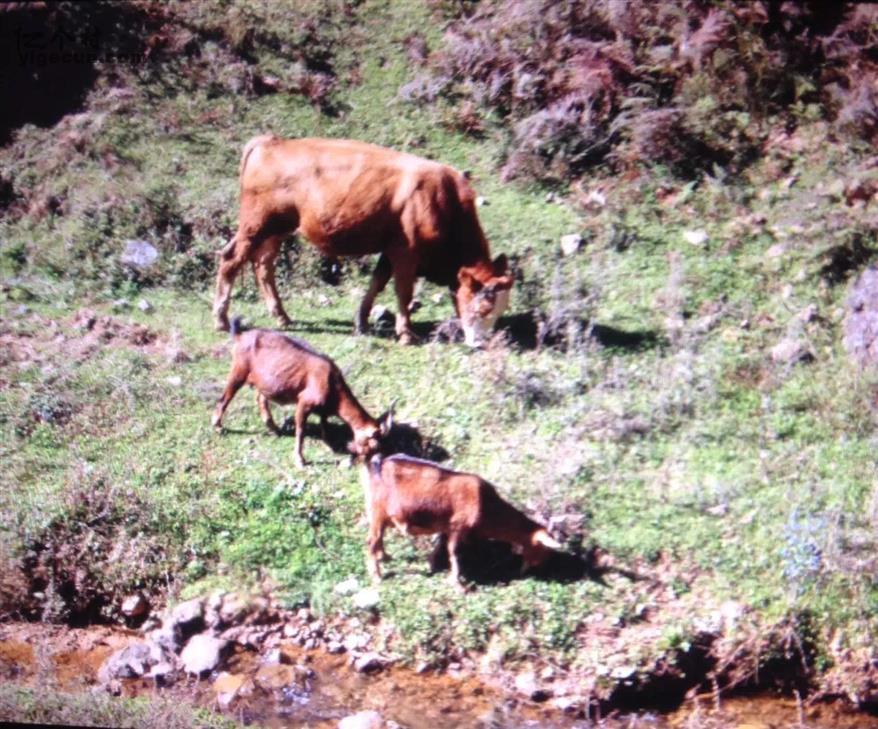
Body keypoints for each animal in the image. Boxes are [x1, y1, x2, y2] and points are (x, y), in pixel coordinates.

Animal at [213, 318, 392, 466]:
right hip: (238, 370)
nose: (365, 461)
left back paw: (274, 428)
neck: (332, 384)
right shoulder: (304, 402)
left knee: (261, 398)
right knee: (224, 398)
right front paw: (300, 459)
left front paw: (330, 445)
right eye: (373, 444)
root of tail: (240, 335)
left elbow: (325, 427)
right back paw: (218, 427)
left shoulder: (323, 410)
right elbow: (301, 431)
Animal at [360, 456, 560, 584]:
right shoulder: (457, 526)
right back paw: (377, 576)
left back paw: (385, 557)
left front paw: (432, 563)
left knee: (378, 540)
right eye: (543, 548)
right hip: (377, 514)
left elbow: (442, 546)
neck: (487, 505)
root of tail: (378, 464)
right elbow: (453, 551)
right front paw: (455, 581)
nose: (532, 570)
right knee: (372, 541)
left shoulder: (448, 527)